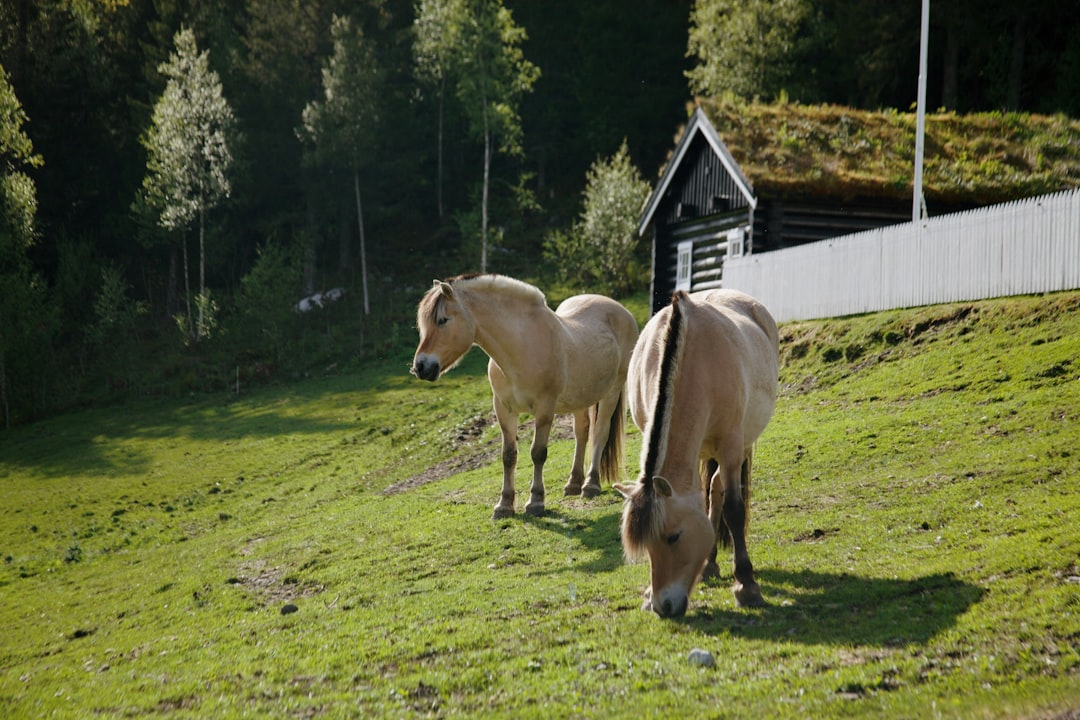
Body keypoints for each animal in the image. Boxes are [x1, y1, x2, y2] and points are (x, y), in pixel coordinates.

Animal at [412, 274, 639, 519]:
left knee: (599, 433)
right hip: (580, 398)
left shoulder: (545, 409)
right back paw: (573, 484)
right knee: (582, 433)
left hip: (611, 392)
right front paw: (504, 505)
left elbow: (538, 453)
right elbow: (508, 455)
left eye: (443, 320)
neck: (521, 347)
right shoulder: (503, 409)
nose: (420, 367)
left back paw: (590, 485)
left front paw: (536, 502)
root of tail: (621, 310)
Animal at [614, 289, 778, 617]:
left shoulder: (731, 446)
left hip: (739, 446)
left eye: (674, 536)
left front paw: (747, 585)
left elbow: (734, 510)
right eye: (647, 545)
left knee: (719, 490)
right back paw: (709, 565)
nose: (663, 606)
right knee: (711, 490)